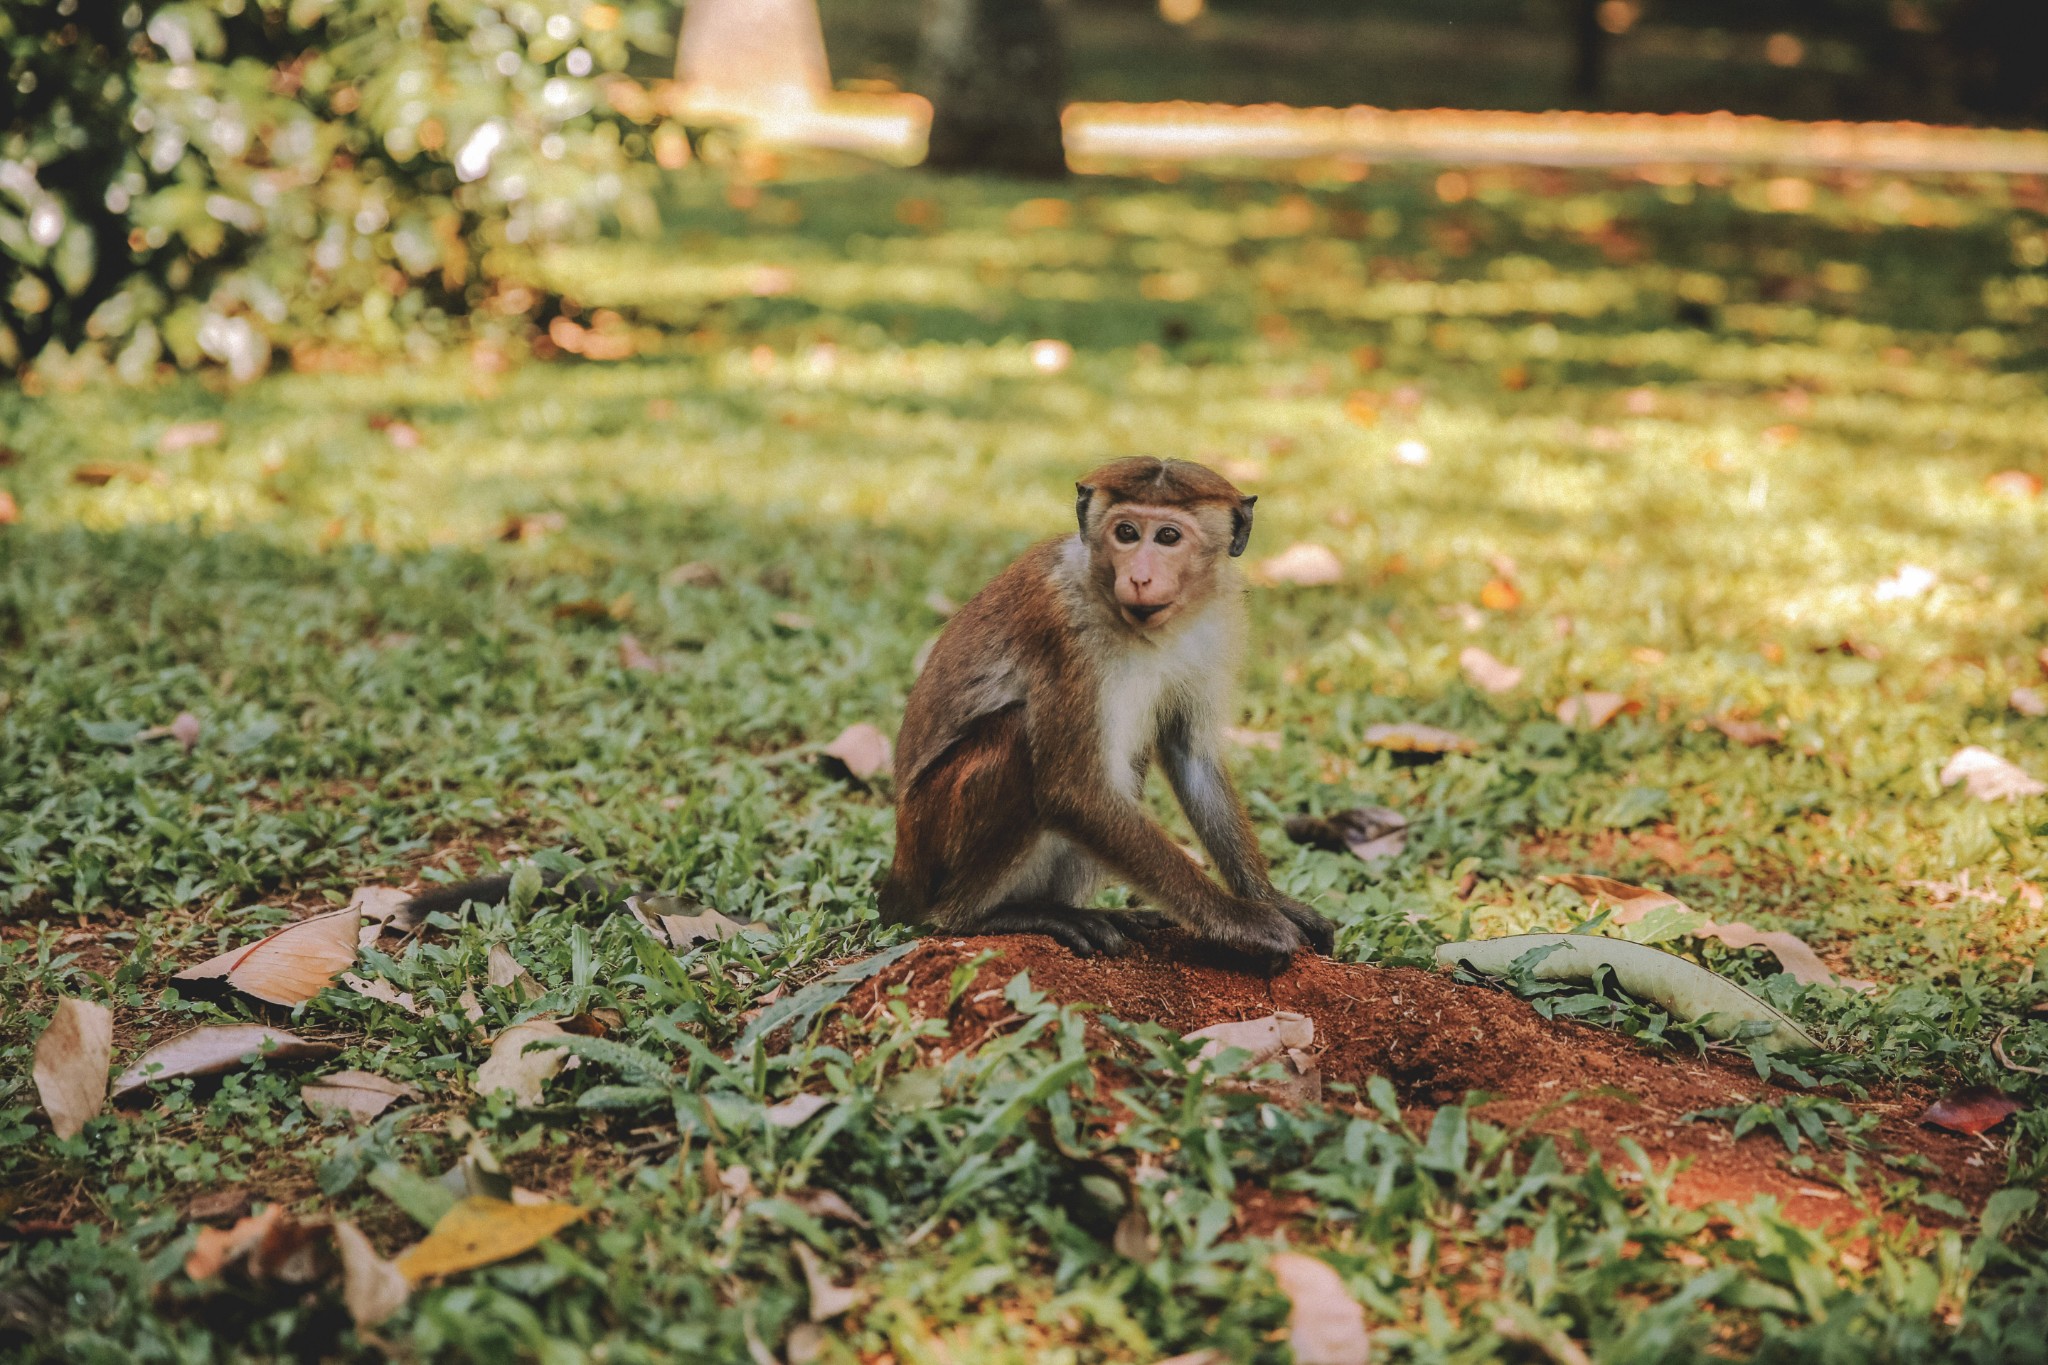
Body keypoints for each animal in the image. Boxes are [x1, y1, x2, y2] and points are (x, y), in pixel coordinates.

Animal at [872, 456, 1335, 970]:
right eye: (1127, 532)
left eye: (1168, 537)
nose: (1139, 577)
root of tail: (901, 868)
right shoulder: (1063, 630)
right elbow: (1074, 790)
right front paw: (1242, 921)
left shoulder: (1214, 627)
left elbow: (1189, 757)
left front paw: (1271, 900)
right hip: (932, 824)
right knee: (1020, 735)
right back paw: (979, 916)